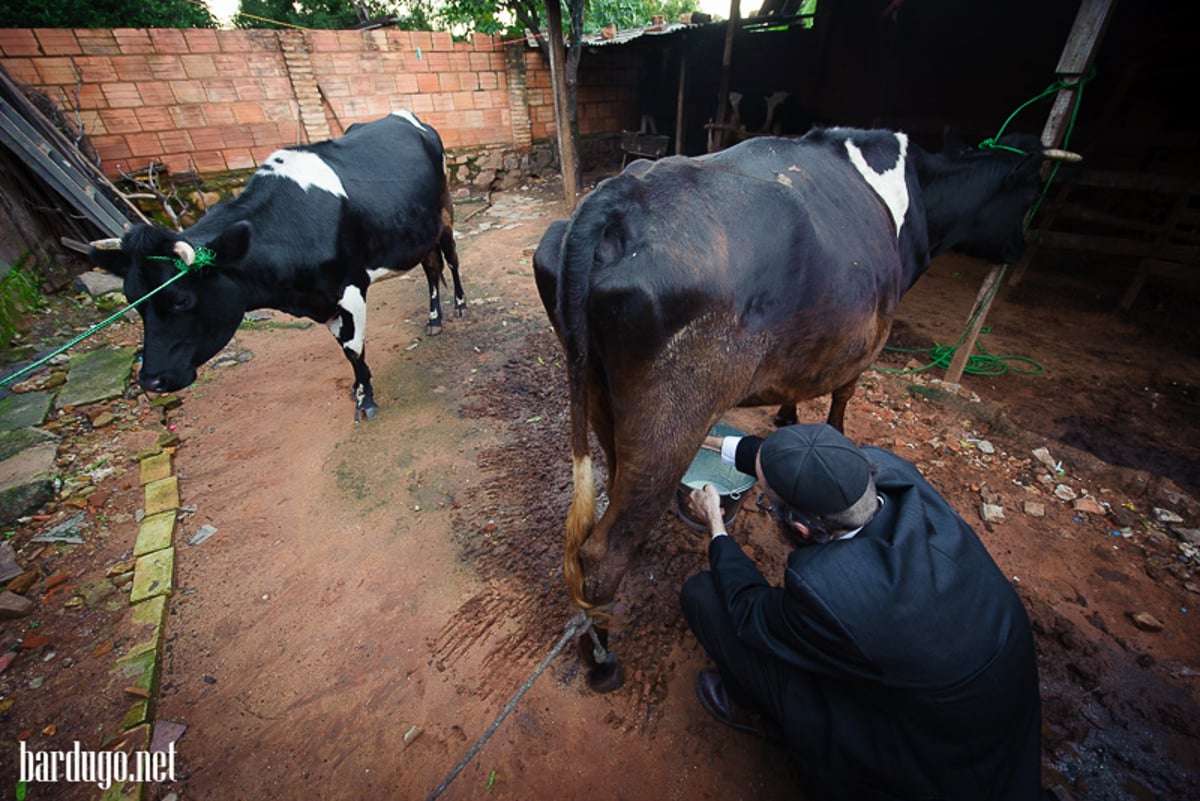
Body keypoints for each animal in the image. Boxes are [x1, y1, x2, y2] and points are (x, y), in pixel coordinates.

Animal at [87, 110, 463, 422]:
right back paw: (434, 319)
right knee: (431, 268)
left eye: (181, 299)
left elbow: (354, 349)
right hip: (418, 232)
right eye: (132, 299)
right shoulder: (321, 299)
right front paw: (358, 389)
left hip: (444, 213)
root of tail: (404, 116)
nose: (152, 380)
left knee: (451, 260)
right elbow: (345, 351)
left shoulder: (349, 289)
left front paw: (365, 400)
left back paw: (458, 305)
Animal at [535, 126, 1080, 690]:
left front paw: (786, 418)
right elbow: (843, 395)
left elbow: (796, 385)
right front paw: (836, 436)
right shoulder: (867, 337)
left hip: (602, 398)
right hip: (672, 413)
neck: (916, 193)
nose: (1018, 250)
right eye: (1029, 195)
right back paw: (601, 660)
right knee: (602, 549)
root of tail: (616, 197)